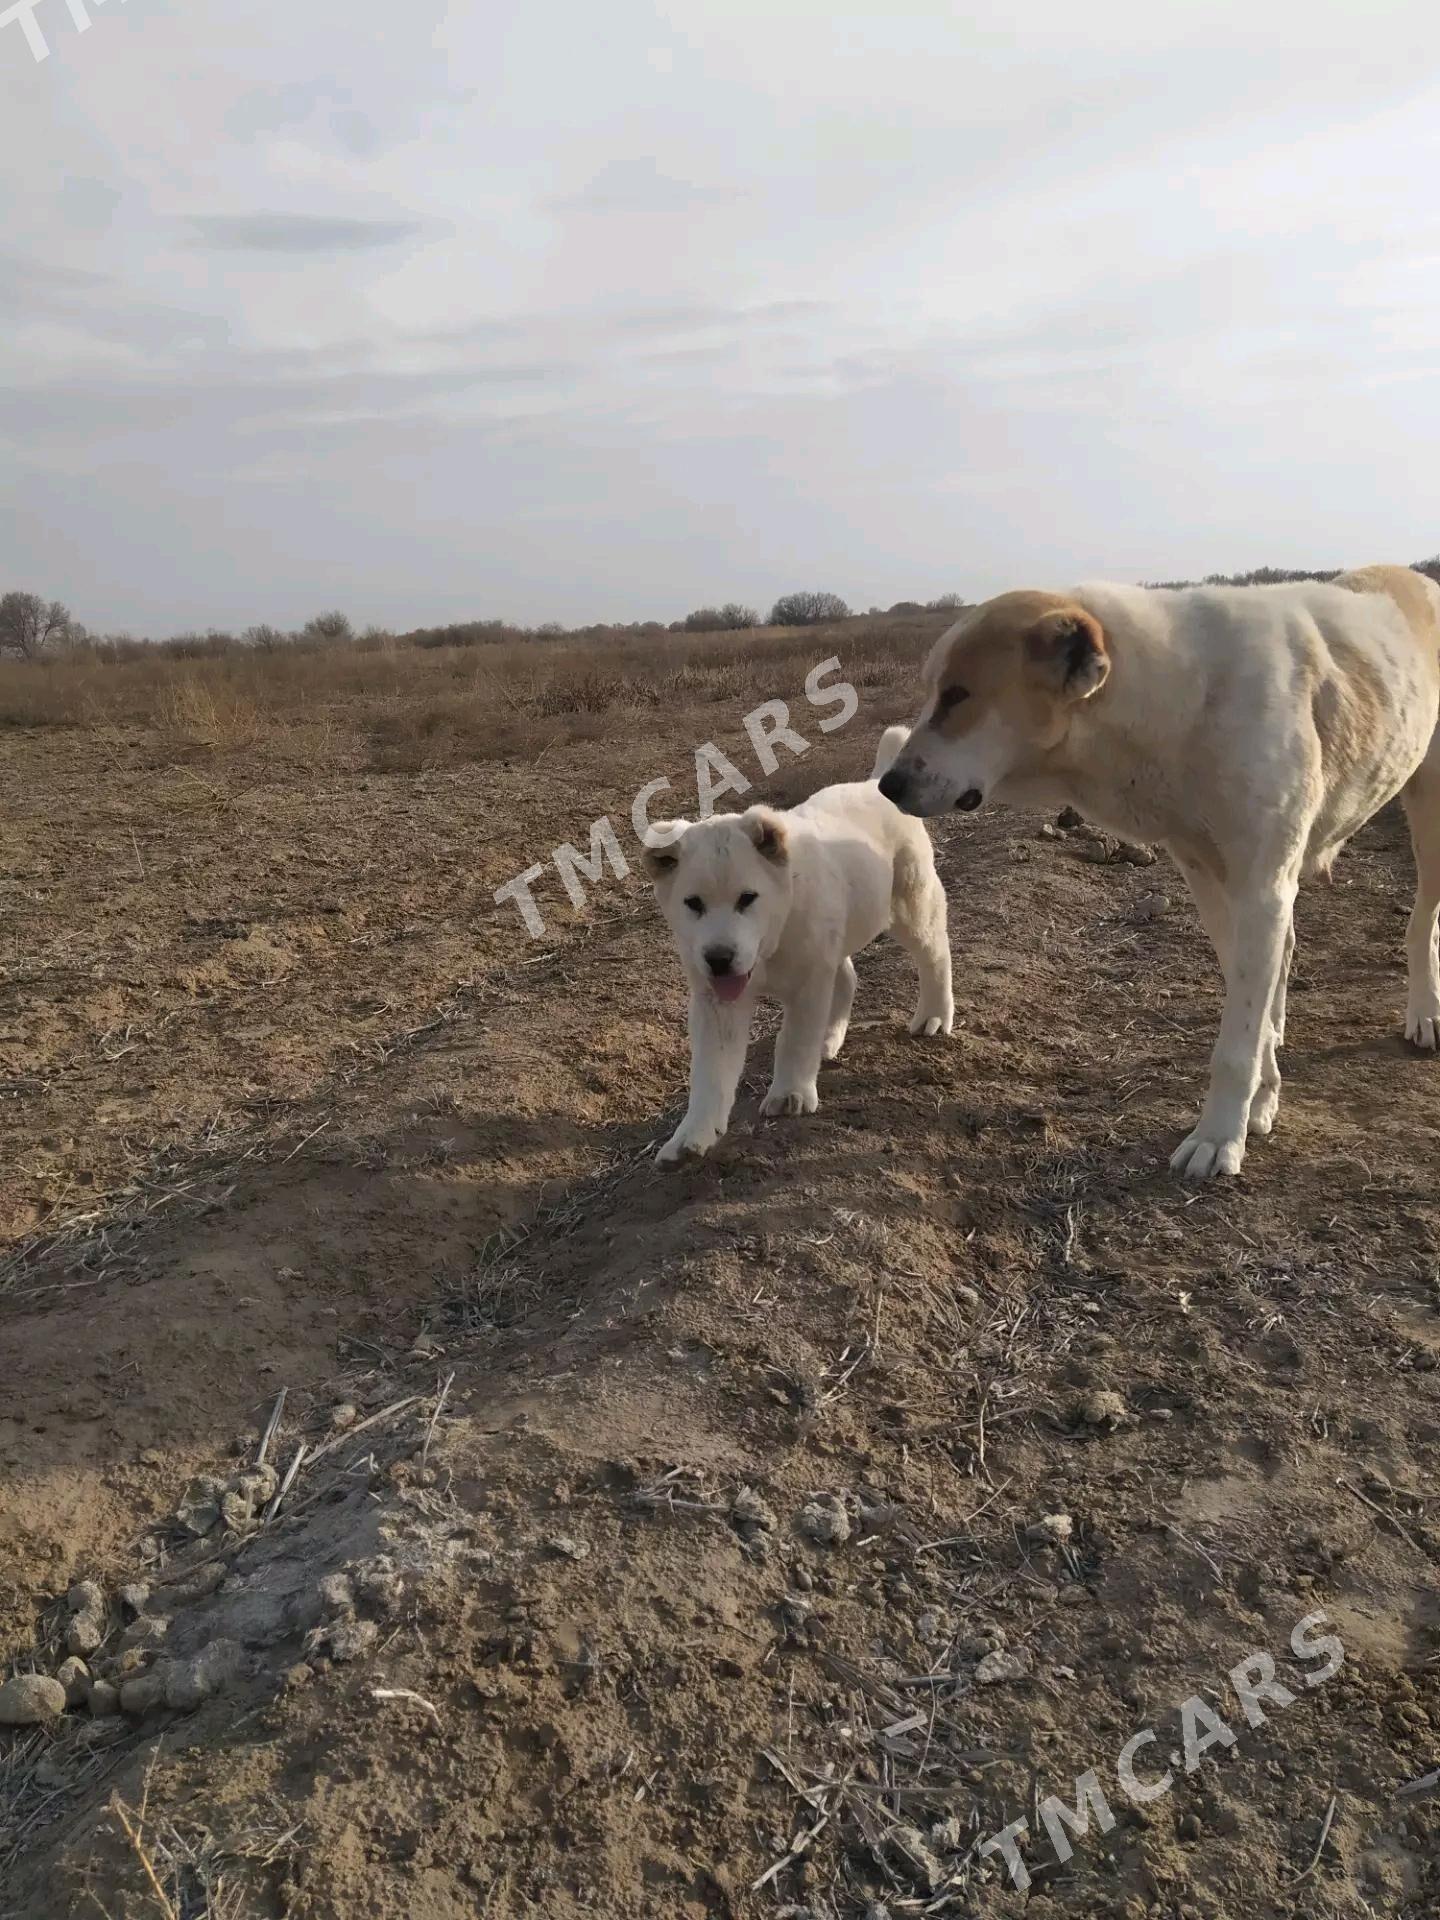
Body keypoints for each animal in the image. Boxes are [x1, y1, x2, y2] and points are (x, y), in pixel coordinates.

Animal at [645, 725, 960, 1159]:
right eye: (693, 904)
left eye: (748, 898)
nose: (720, 958)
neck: (773, 939)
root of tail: (874, 782)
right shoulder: (716, 1001)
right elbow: (710, 1071)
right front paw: (693, 1134)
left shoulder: (808, 981)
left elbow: (794, 1039)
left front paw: (790, 1093)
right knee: (846, 977)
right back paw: (831, 1038)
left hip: (913, 906)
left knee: (935, 956)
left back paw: (934, 1015)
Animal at [879, 560, 1440, 1175]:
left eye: (957, 695)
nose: (887, 786)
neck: (1181, 700)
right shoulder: (1209, 881)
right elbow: (1251, 1008)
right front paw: (1262, 1097)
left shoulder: (1260, 888)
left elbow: (1237, 1039)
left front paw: (1220, 1136)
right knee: (1289, 956)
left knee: (1420, 926)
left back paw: (1424, 1014)